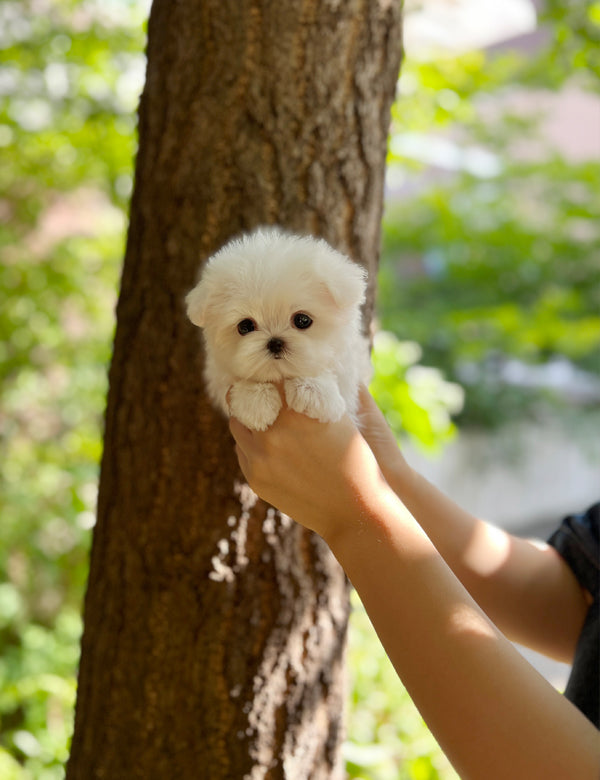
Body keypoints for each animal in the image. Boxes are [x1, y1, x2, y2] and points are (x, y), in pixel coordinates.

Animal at [185, 225, 370, 432]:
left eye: (302, 320)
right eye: (245, 326)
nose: (275, 343)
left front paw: (314, 392)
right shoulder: (218, 373)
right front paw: (256, 402)